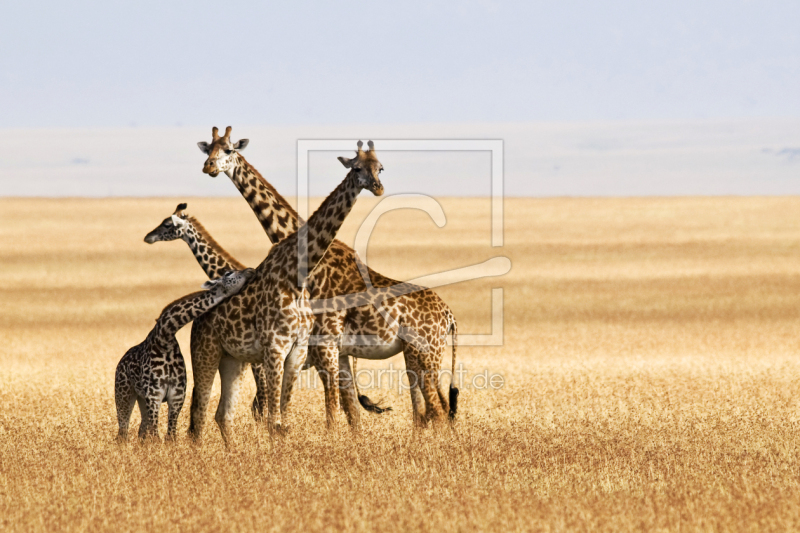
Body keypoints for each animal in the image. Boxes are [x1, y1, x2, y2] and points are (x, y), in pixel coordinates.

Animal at [113, 268, 253, 438]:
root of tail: (120, 362)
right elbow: (155, 437)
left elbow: (170, 437)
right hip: (124, 395)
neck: (164, 337)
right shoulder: (154, 396)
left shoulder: (176, 396)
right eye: (228, 273)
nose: (250, 271)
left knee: (141, 430)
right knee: (122, 434)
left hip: (141, 398)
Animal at [189, 136, 386, 436]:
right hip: (209, 355)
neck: (297, 273)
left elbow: (284, 418)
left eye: (380, 167)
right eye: (356, 168)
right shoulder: (275, 351)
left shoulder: (297, 351)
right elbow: (275, 419)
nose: (378, 187)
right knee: (200, 418)